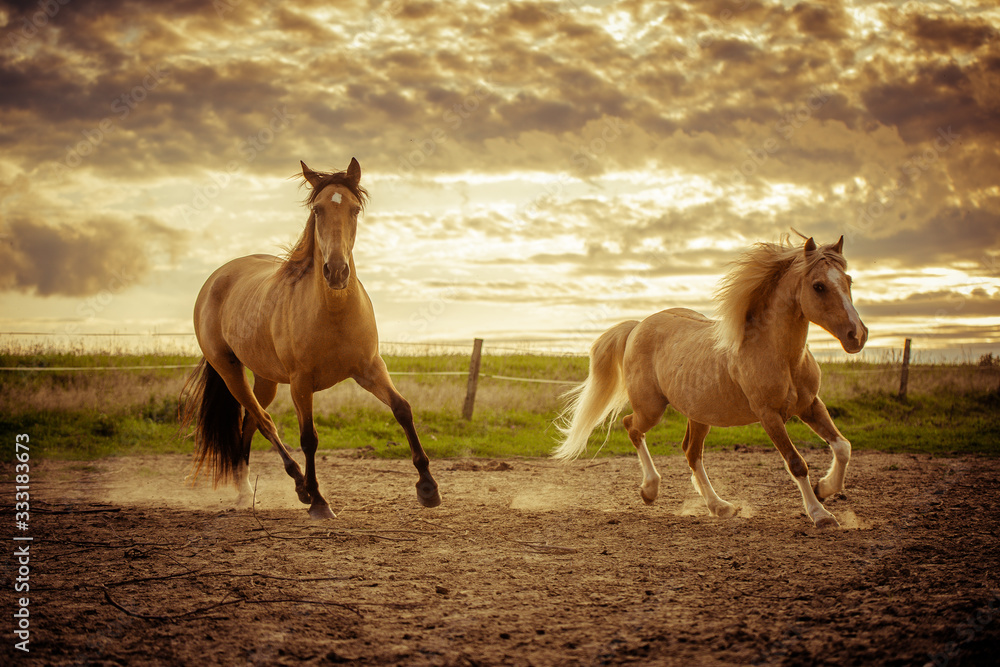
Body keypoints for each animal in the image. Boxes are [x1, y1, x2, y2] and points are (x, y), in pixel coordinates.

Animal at [185, 158, 442, 520]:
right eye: (317, 209)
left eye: (355, 209)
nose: (336, 272)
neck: (333, 311)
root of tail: (216, 278)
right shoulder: (301, 381)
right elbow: (309, 437)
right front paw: (320, 502)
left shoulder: (370, 368)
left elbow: (402, 409)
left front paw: (428, 488)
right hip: (231, 372)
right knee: (264, 422)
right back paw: (293, 488)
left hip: (265, 378)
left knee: (250, 423)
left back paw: (255, 489)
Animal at [556, 237, 868, 528]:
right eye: (818, 286)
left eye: (848, 280)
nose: (858, 335)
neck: (780, 355)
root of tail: (637, 326)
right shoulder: (769, 415)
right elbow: (797, 464)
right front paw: (820, 514)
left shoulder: (810, 405)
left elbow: (843, 446)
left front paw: (825, 488)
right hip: (651, 409)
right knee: (631, 426)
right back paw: (650, 490)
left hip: (699, 415)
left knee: (691, 453)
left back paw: (719, 506)